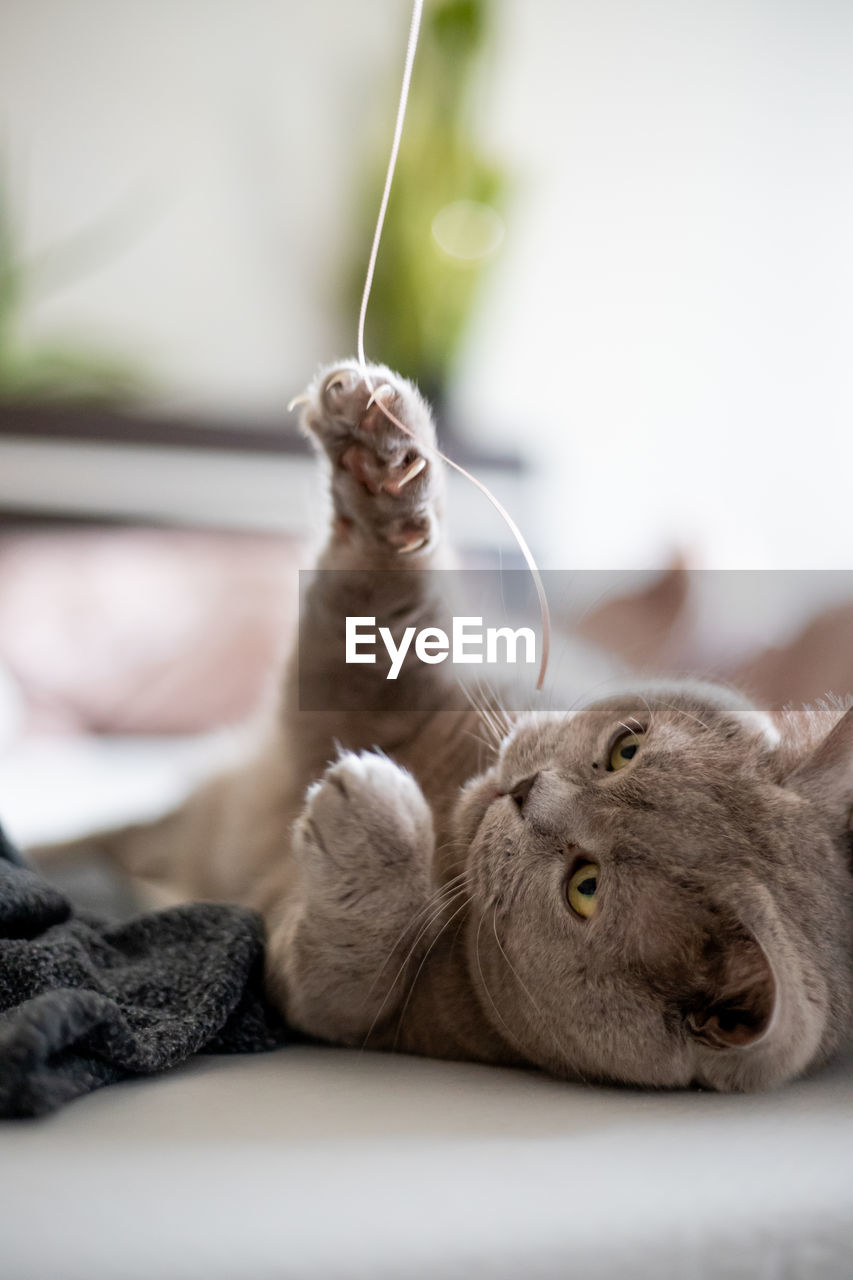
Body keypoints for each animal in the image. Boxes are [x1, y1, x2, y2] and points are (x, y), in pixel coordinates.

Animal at [39, 360, 850, 1090]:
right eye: (625, 748)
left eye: (585, 886)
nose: (526, 791)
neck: (446, 803)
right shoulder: (397, 681)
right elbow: (379, 596)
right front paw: (381, 452)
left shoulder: (337, 1001)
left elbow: (356, 963)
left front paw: (371, 816)